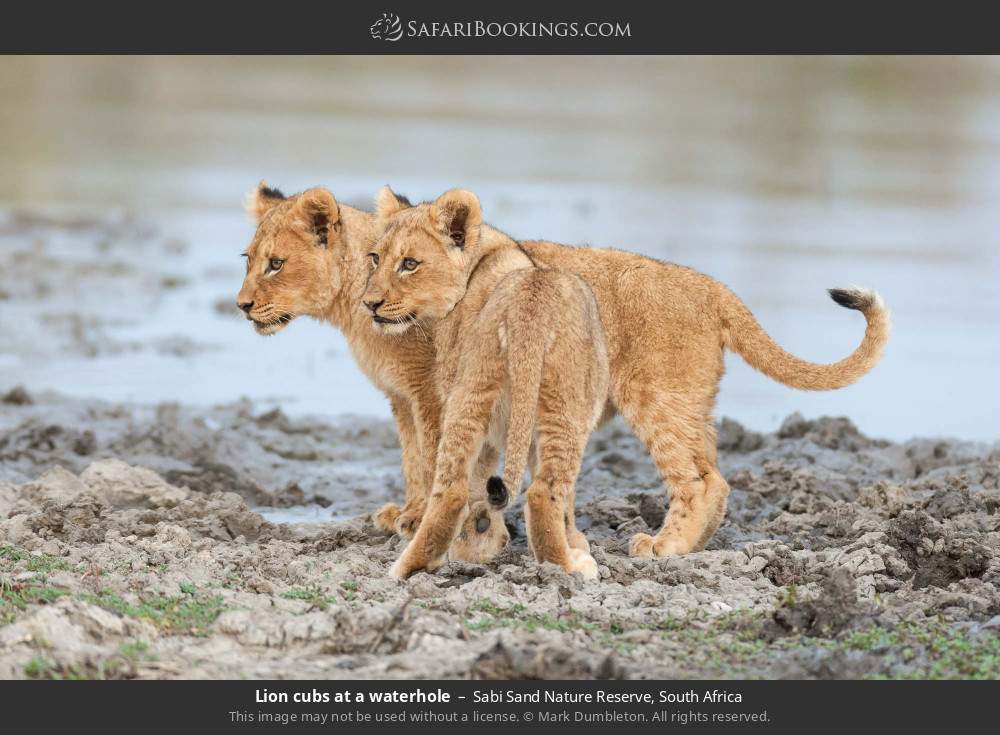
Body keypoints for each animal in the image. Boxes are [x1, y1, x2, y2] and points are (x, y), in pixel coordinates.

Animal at [364, 187, 610, 579]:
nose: (369, 304)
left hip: (477, 392)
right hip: (557, 403)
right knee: (539, 491)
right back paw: (568, 567)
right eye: (375, 258)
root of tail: (530, 309)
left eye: (410, 264)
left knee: (455, 490)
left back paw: (406, 569)